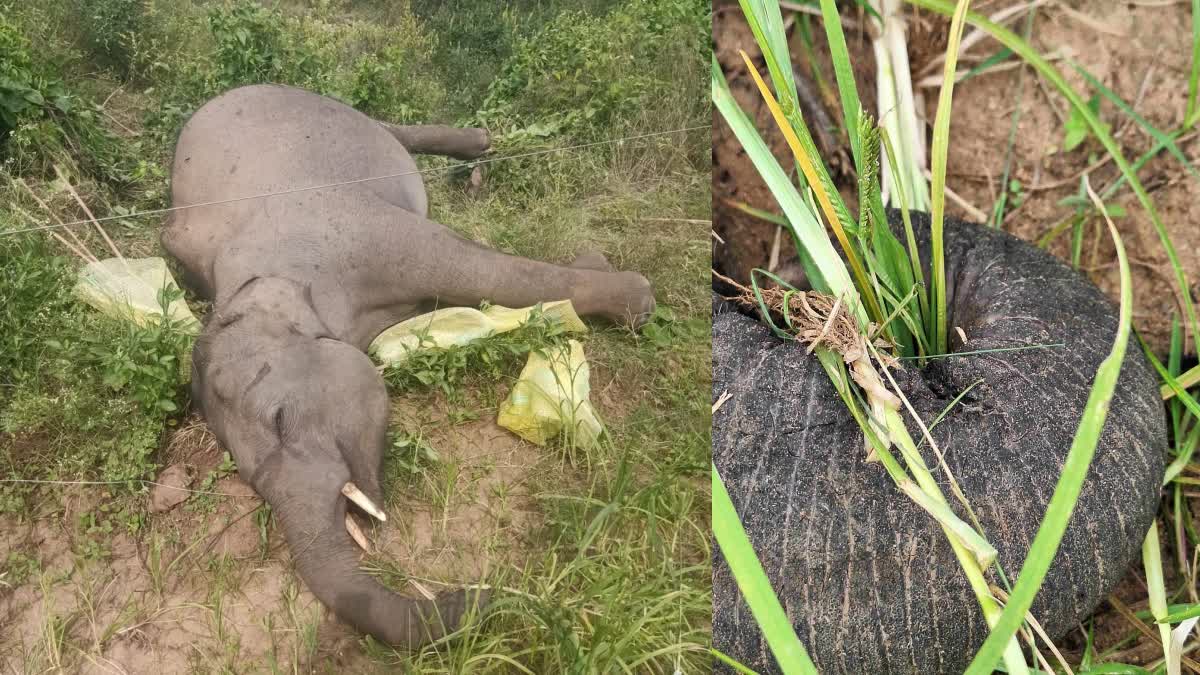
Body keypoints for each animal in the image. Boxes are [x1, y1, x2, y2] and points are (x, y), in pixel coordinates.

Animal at [164, 85, 657, 648]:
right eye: (243, 473)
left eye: (281, 420)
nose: (485, 596)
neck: (242, 285)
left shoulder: (355, 225)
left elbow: (472, 268)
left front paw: (633, 298)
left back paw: (480, 147)